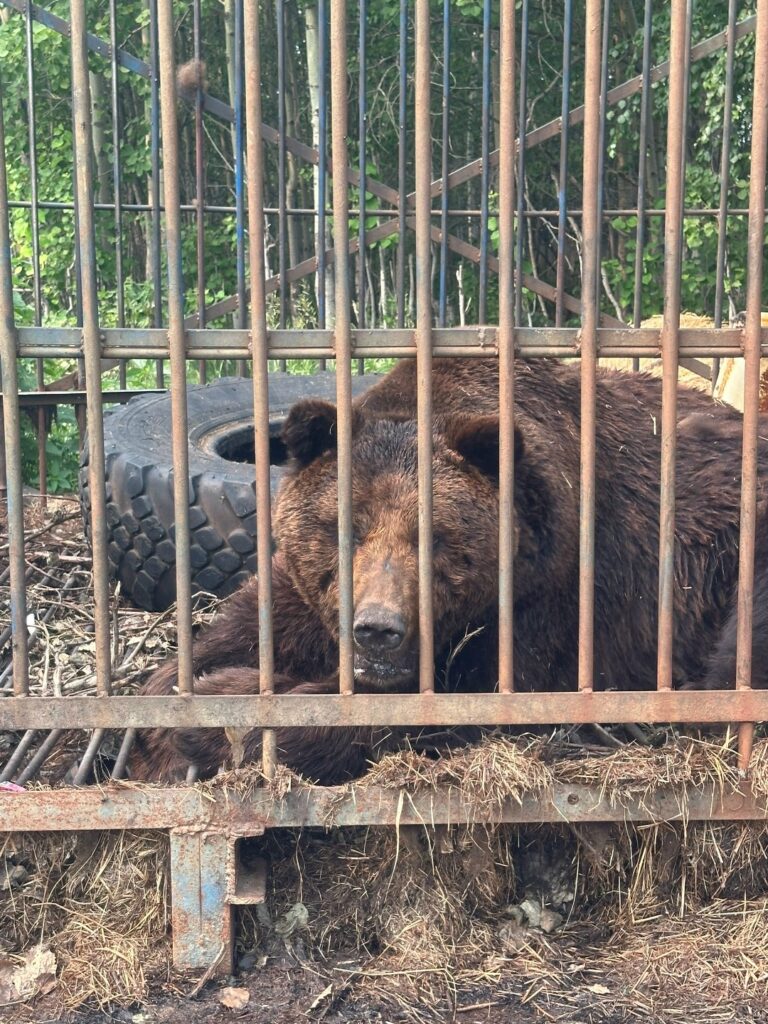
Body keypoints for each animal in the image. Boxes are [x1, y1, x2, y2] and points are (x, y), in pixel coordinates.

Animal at [129, 357, 768, 785]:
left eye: (435, 538)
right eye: (347, 528)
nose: (378, 629)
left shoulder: (547, 604)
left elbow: (436, 709)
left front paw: (220, 719)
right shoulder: (313, 587)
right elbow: (256, 621)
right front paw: (165, 704)